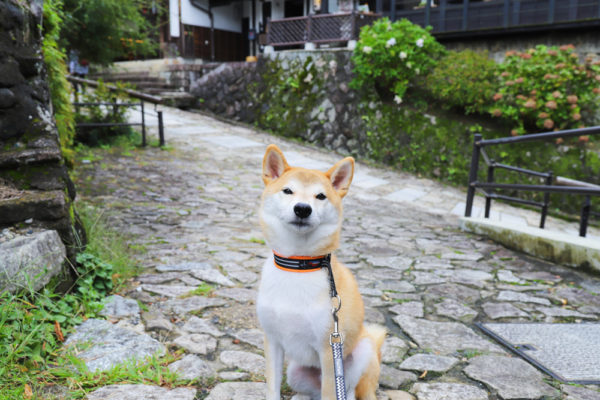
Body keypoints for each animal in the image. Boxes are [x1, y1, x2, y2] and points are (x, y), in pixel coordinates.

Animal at [255, 145, 386, 400]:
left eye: (321, 196)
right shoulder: (272, 340)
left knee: (348, 392)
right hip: (295, 372)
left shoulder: (328, 351)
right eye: (288, 191)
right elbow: (272, 387)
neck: (298, 265)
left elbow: (330, 393)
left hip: (361, 353)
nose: (302, 209)